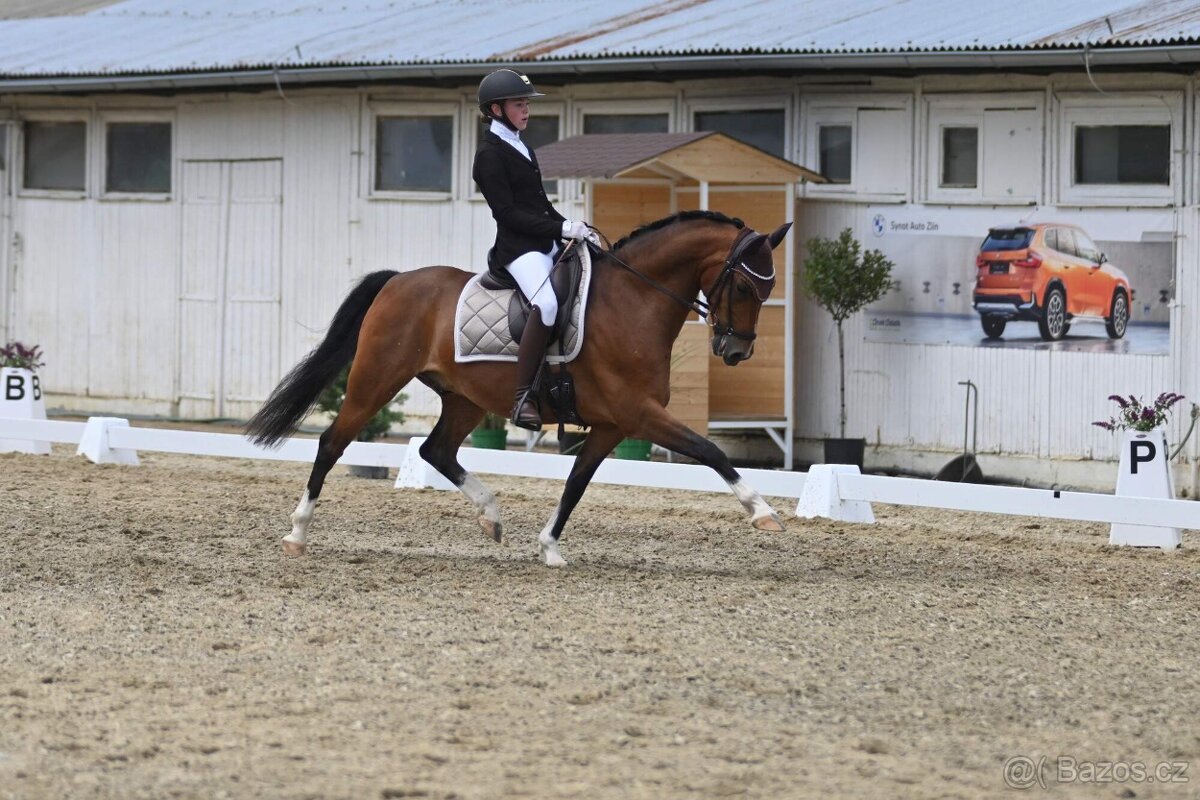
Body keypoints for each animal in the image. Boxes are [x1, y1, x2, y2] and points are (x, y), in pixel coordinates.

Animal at [245, 210, 793, 566]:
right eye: (745, 286)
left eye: (767, 288)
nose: (736, 351)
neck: (634, 301)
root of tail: (398, 281)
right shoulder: (638, 413)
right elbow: (709, 451)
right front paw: (764, 513)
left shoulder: (613, 425)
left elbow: (576, 483)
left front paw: (549, 547)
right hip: (376, 379)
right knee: (332, 442)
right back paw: (297, 533)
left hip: (464, 398)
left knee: (436, 450)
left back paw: (490, 516)